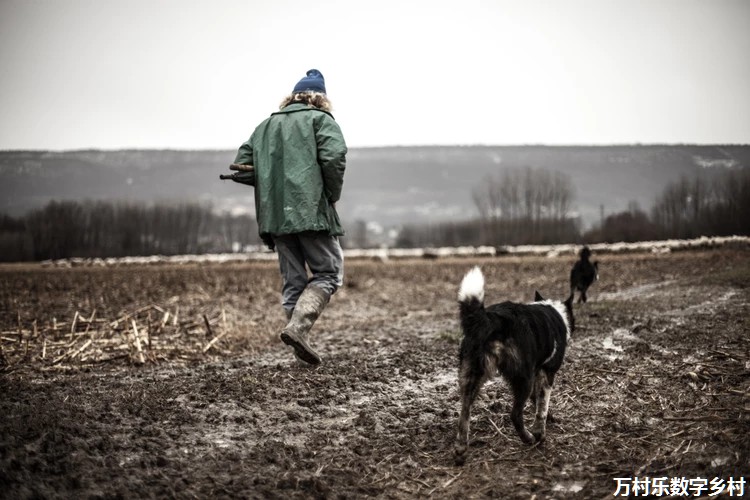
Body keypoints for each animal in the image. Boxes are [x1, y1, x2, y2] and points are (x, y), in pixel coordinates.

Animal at [452, 268, 576, 466]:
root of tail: (491, 319)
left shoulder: (537, 372)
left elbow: (537, 400)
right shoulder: (546, 372)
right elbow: (542, 406)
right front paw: (540, 432)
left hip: (471, 376)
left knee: (464, 412)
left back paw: (461, 450)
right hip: (522, 379)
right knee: (515, 415)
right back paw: (528, 438)